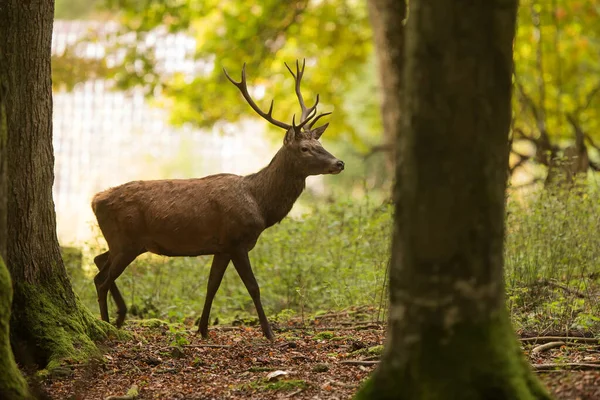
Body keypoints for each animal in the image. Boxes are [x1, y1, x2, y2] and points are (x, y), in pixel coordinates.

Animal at [89, 60, 342, 340]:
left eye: (320, 143)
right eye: (304, 148)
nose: (339, 163)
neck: (261, 206)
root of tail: (95, 200)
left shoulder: (221, 247)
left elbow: (213, 285)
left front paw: (202, 329)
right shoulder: (236, 241)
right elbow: (253, 287)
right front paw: (269, 333)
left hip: (124, 243)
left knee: (99, 262)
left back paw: (120, 315)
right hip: (126, 241)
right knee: (101, 279)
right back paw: (107, 323)